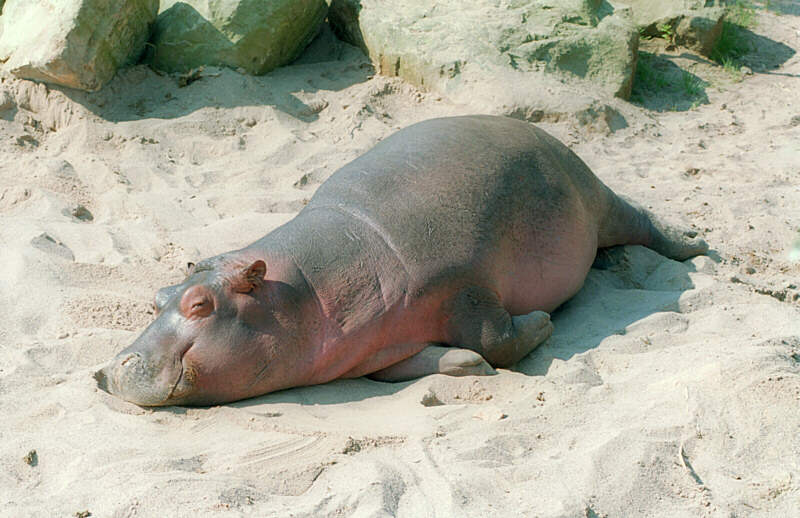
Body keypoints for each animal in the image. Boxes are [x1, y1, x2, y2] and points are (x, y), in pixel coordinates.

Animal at [95, 115, 707, 406]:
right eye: (156, 297)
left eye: (200, 304)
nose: (109, 367)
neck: (303, 290)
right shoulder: (379, 352)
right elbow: (442, 359)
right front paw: (464, 365)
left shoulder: (464, 282)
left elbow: (497, 337)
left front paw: (541, 323)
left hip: (595, 197)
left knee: (643, 220)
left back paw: (696, 246)